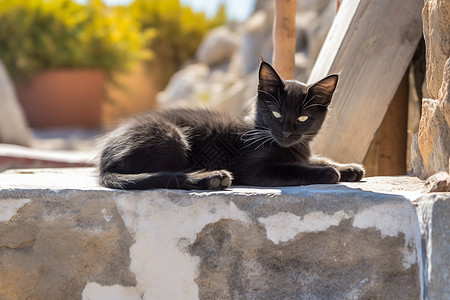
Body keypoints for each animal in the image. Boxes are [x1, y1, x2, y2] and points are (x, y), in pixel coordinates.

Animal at [96, 61, 364, 190]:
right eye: (276, 113)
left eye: (302, 119)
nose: (287, 133)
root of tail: (105, 163)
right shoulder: (252, 168)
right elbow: (295, 169)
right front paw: (331, 172)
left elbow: (314, 159)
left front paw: (348, 168)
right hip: (170, 134)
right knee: (163, 175)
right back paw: (211, 178)